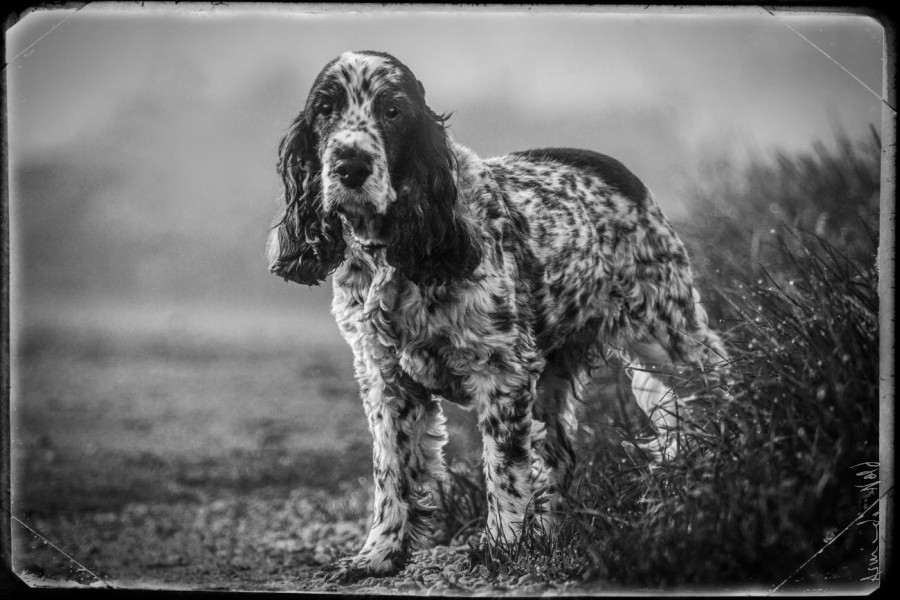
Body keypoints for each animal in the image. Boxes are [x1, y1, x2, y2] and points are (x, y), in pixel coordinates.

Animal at [264, 51, 728, 580]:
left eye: (392, 111)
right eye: (326, 110)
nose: (351, 166)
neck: (393, 255)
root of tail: (620, 171)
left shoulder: (501, 370)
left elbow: (503, 467)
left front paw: (502, 544)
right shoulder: (385, 377)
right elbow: (392, 473)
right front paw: (379, 554)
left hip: (667, 331)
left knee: (718, 379)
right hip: (556, 375)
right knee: (559, 455)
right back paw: (547, 533)